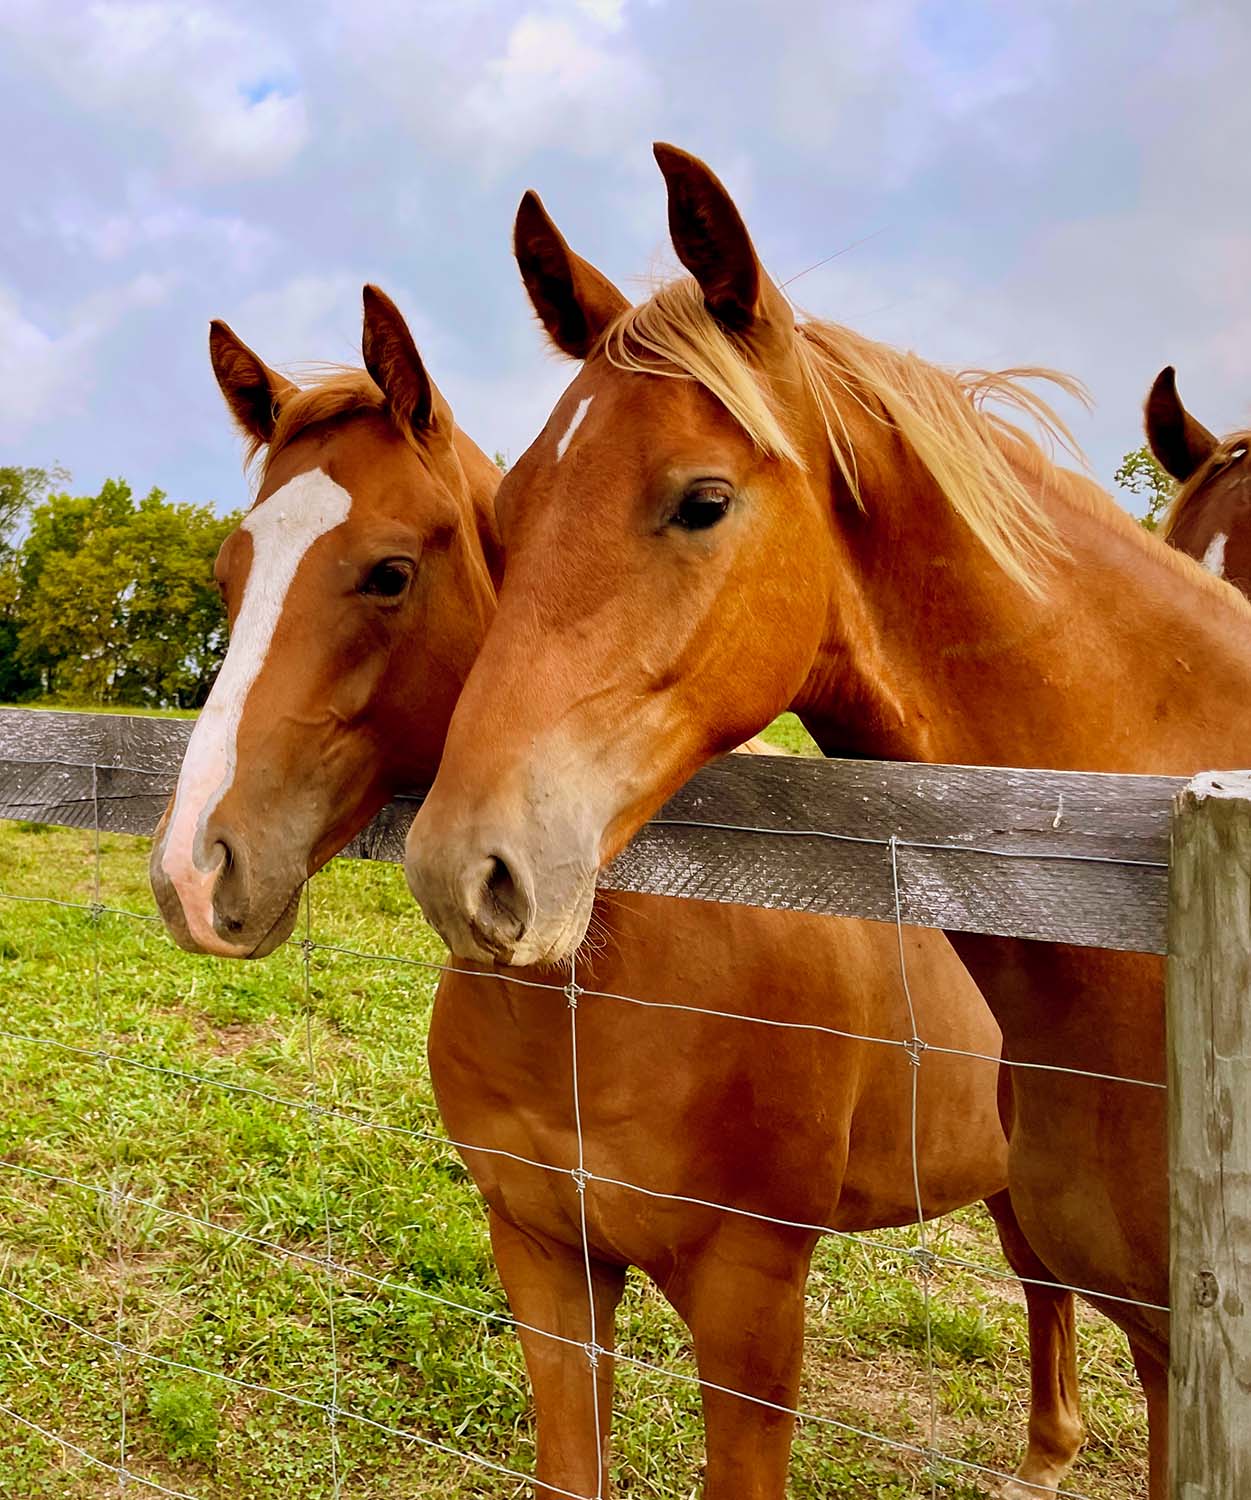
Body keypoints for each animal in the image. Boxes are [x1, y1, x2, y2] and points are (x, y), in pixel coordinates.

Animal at [148, 286, 1080, 1494]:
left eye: (389, 571)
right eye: (228, 576)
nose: (192, 868)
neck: (612, 993)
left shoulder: (750, 1306)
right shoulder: (546, 1257)